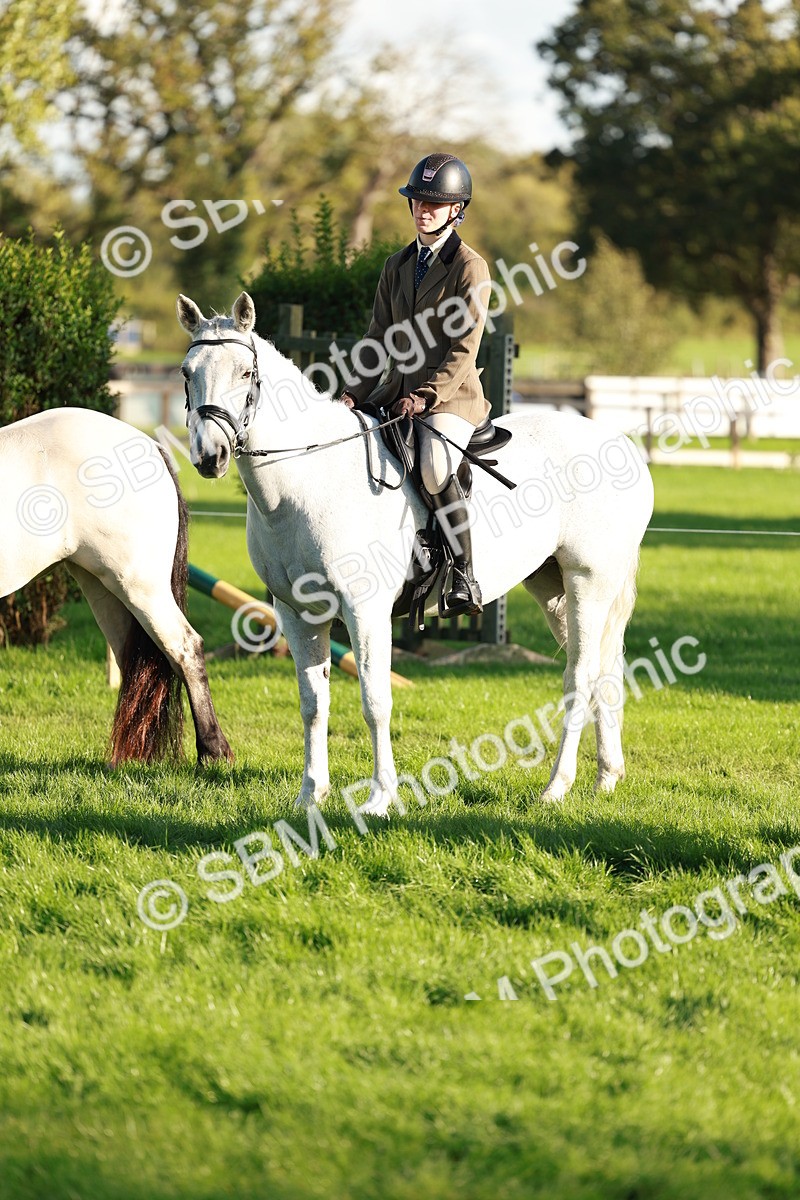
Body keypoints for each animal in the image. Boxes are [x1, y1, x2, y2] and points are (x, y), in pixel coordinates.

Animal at [0, 407, 232, 766]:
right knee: (136, 661)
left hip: (139, 586)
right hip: (103, 588)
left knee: (184, 648)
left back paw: (212, 751)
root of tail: (149, 445)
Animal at [178, 291, 654, 813]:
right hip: (552, 585)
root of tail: (620, 444)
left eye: (246, 372)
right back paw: (606, 777)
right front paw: (310, 796)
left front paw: (380, 798)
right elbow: (313, 704)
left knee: (580, 677)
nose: (210, 456)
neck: (308, 480)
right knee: (603, 671)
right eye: (186, 372)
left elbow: (375, 702)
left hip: (588, 582)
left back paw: (557, 787)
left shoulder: (365, 611)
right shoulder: (298, 613)